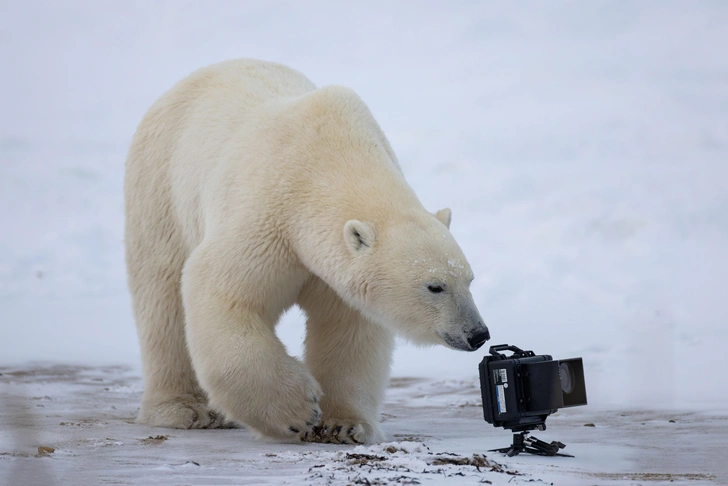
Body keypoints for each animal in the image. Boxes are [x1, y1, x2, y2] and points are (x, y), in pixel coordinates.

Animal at [125, 59, 490, 444]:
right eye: (435, 286)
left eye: (469, 279)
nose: (477, 333)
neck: (326, 160)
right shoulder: (268, 217)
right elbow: (223, 292)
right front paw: (296, 411)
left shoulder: (332, 272)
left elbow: (348, 331)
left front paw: (345, 424)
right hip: (161, 187)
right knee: (162, 296)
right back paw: (184, 409)